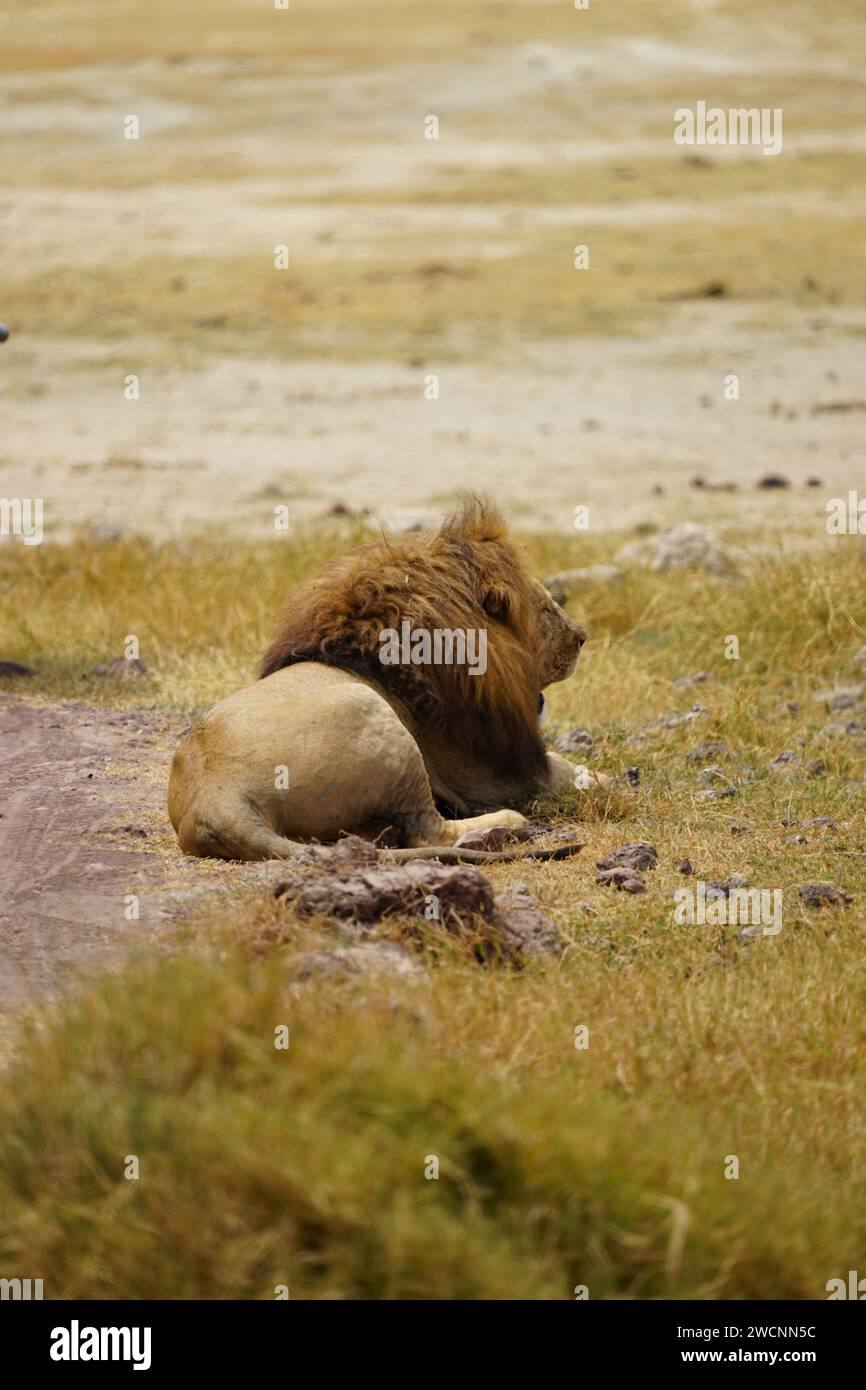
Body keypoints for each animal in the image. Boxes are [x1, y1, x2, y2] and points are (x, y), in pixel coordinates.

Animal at [168, 497, 601, 863]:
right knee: (428, 831)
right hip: (371, 712)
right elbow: (571, 772)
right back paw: (505, 824)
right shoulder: (486, 775)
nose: (582, 637)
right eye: (547, 609)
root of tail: (217, 800)